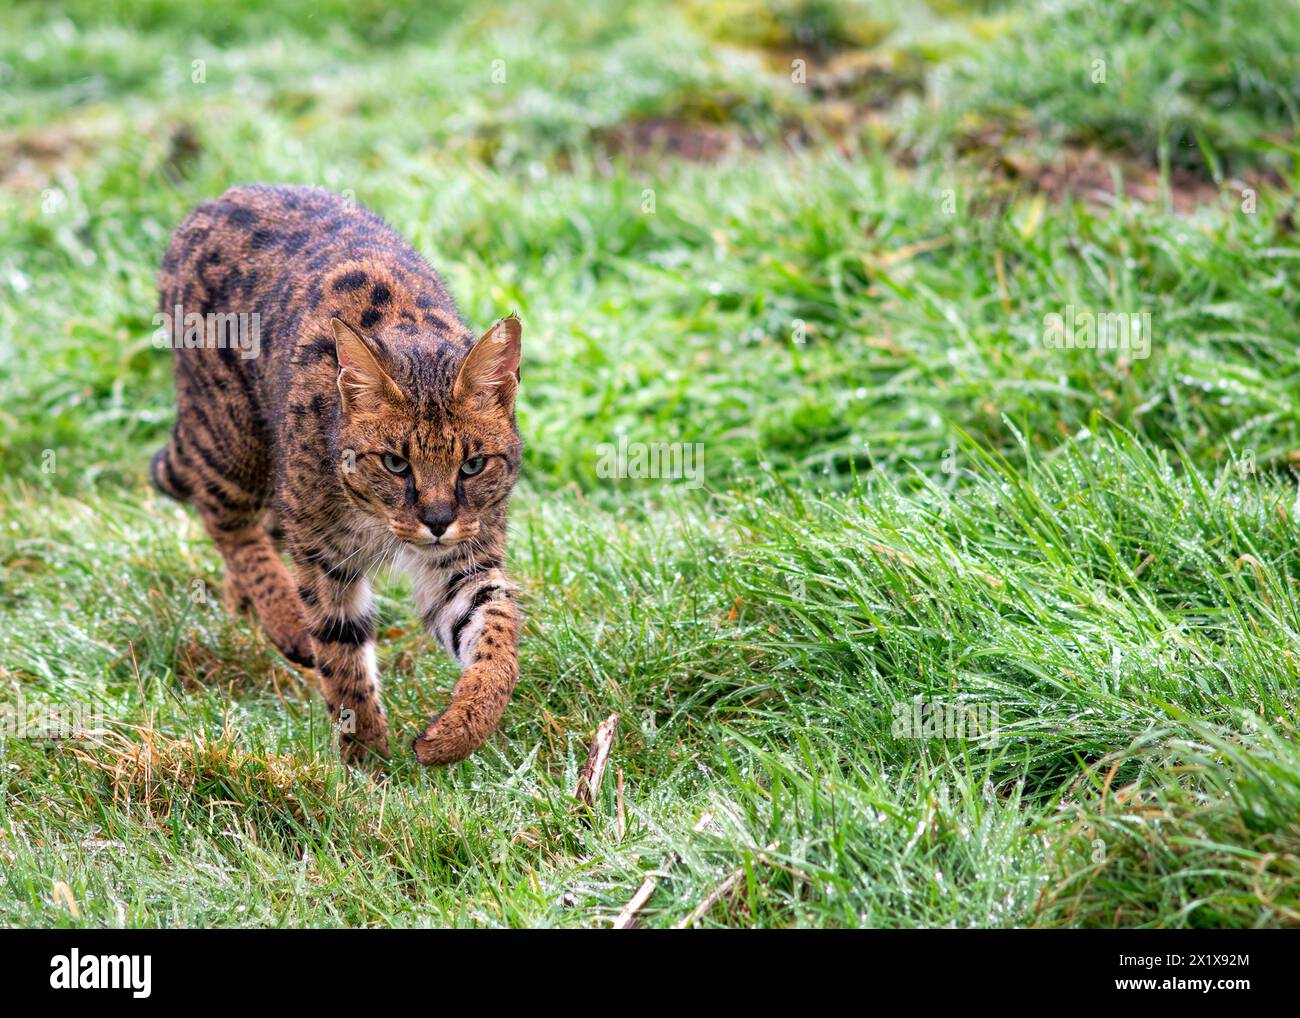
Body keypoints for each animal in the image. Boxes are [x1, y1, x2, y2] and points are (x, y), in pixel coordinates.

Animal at [148, 187, 522, 769]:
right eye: (395, 463)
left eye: (472, 465)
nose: (437, 520)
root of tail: (220, 197)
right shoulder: (325, 556)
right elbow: (342, 659)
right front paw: (367, 763)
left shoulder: (462, 557)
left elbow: (498, 638)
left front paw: (460, 729)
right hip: (233, 434)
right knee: (224, 516)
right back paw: (280, 614)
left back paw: (243, 602)